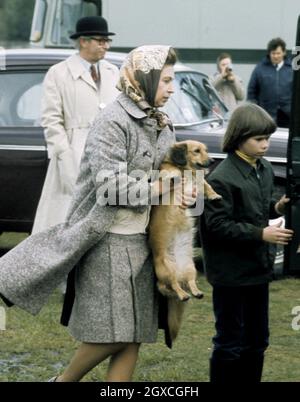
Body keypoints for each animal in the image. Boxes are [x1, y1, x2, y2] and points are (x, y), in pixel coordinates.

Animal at [149, 140, 221, 340]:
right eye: (196, 151)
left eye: (205, 150)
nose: (212, 161)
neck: (188, 171)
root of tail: (179, 270)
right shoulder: (169, 171)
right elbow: (169, 172)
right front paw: (173, 175)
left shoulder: (199, 183)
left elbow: (206, 184)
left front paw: (214, 195)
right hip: (166, 270)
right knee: (170, 286)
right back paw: (182, 295)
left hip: (191, 268)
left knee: (188, 283)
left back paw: (195, 292)